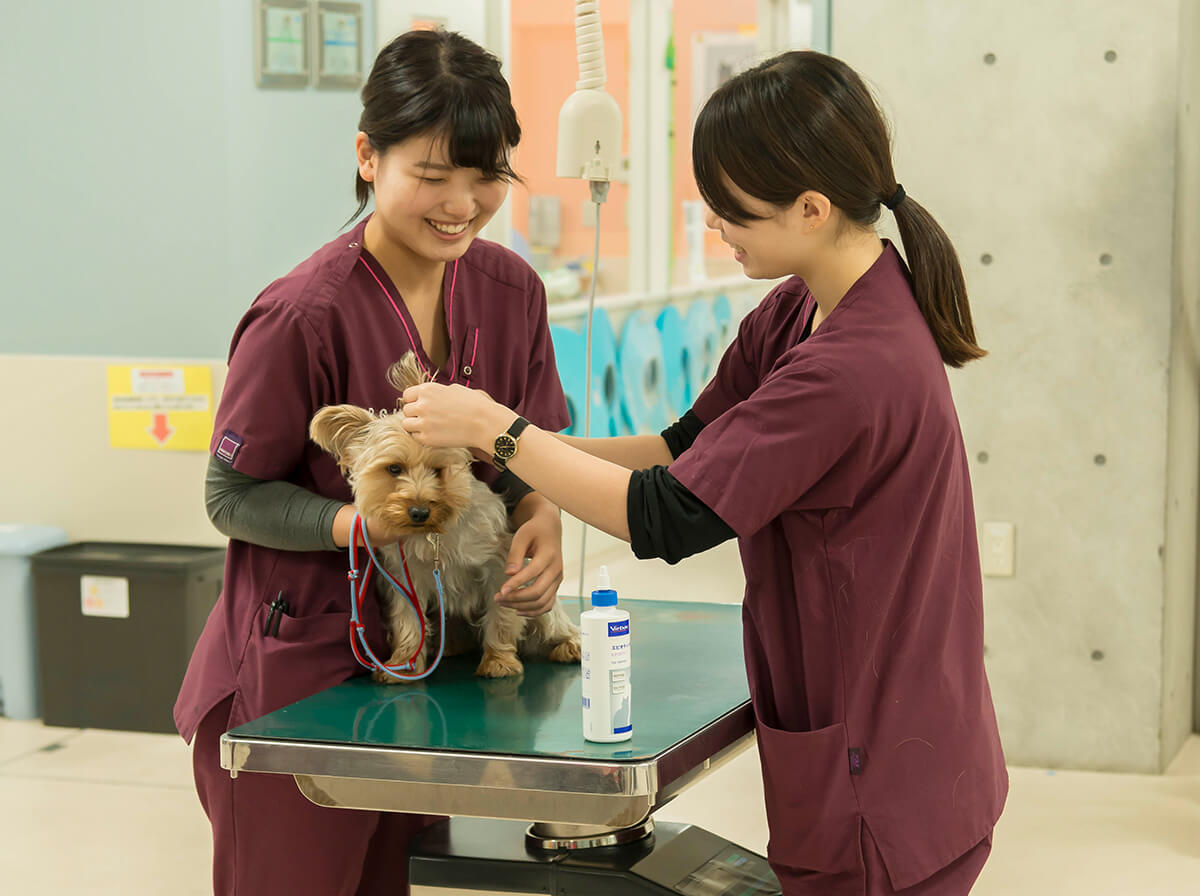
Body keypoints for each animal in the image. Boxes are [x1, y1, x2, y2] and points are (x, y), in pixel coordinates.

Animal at [304, 350, 576, 681]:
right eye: (394, 469)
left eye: (438, 470)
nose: (420, 511)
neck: (433, 536)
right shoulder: (404, 576)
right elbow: (408, 618)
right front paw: (403, 662)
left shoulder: (500, 566)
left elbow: (501, 616)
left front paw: (498, 660)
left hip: (541, 607)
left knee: (555, 623)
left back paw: (570, 645)